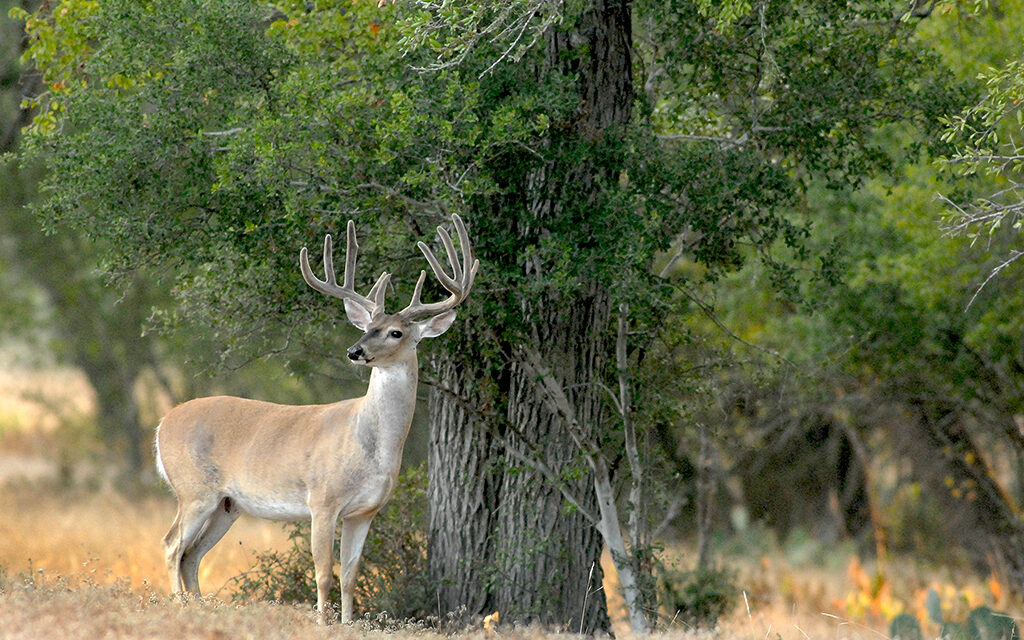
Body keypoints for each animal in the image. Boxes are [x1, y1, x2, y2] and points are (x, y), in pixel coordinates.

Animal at [154, 214, 477, 624]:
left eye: (395, 332)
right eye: (365, 327)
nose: (355, 351)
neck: (372, 445)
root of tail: (162, 423)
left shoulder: (364, 511)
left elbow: (350, 575)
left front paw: (349, 623)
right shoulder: (322, 499)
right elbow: (323, 572)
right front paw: (323, 622)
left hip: (227, 504)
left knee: (191, 554)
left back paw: (200, 609)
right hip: (194, 489)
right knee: (170, 545)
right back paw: (181, 606)